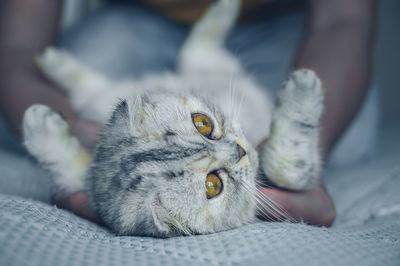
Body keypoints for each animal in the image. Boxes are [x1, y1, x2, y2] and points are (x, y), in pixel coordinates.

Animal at [21, 0, 324, 237]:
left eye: (203, 123)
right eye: (213, 185)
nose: (240, 150)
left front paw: (39, 125)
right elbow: (287, 168)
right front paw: (302, 90)